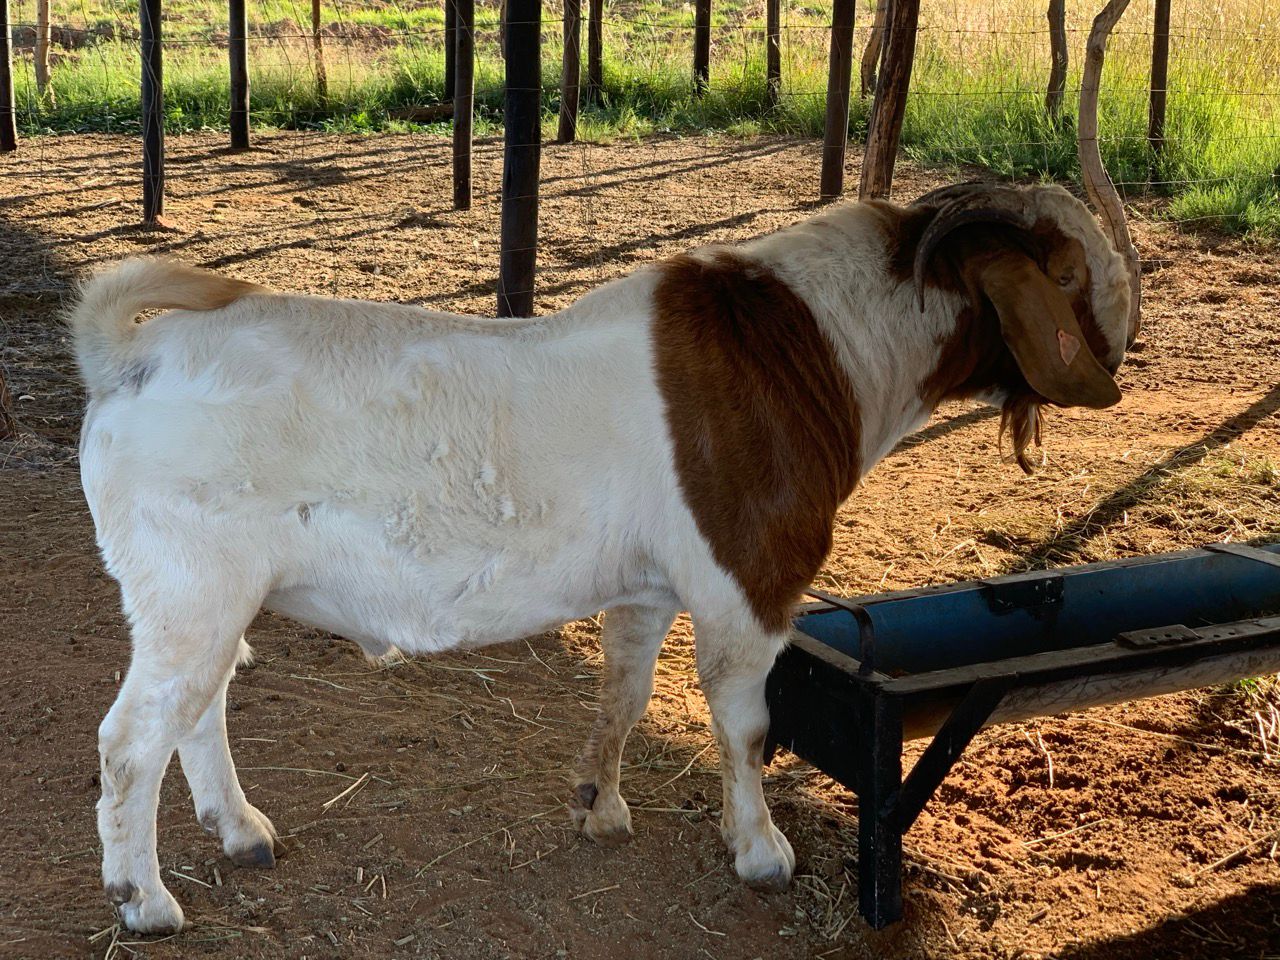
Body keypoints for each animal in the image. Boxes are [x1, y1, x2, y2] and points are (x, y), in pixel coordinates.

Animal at [72, 182, 1134, 933]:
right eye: (1068, 271)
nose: (1125, 341)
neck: (823, 347)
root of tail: (134, 360)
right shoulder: (748, 581)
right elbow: (746, 722)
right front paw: (761, 852)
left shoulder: (649, 588)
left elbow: (623, 691)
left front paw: (600, 804)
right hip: (190, 590)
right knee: (130, 740)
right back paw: (145, 901)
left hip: (212, 598)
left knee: (199, 710)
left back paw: (242, 833)